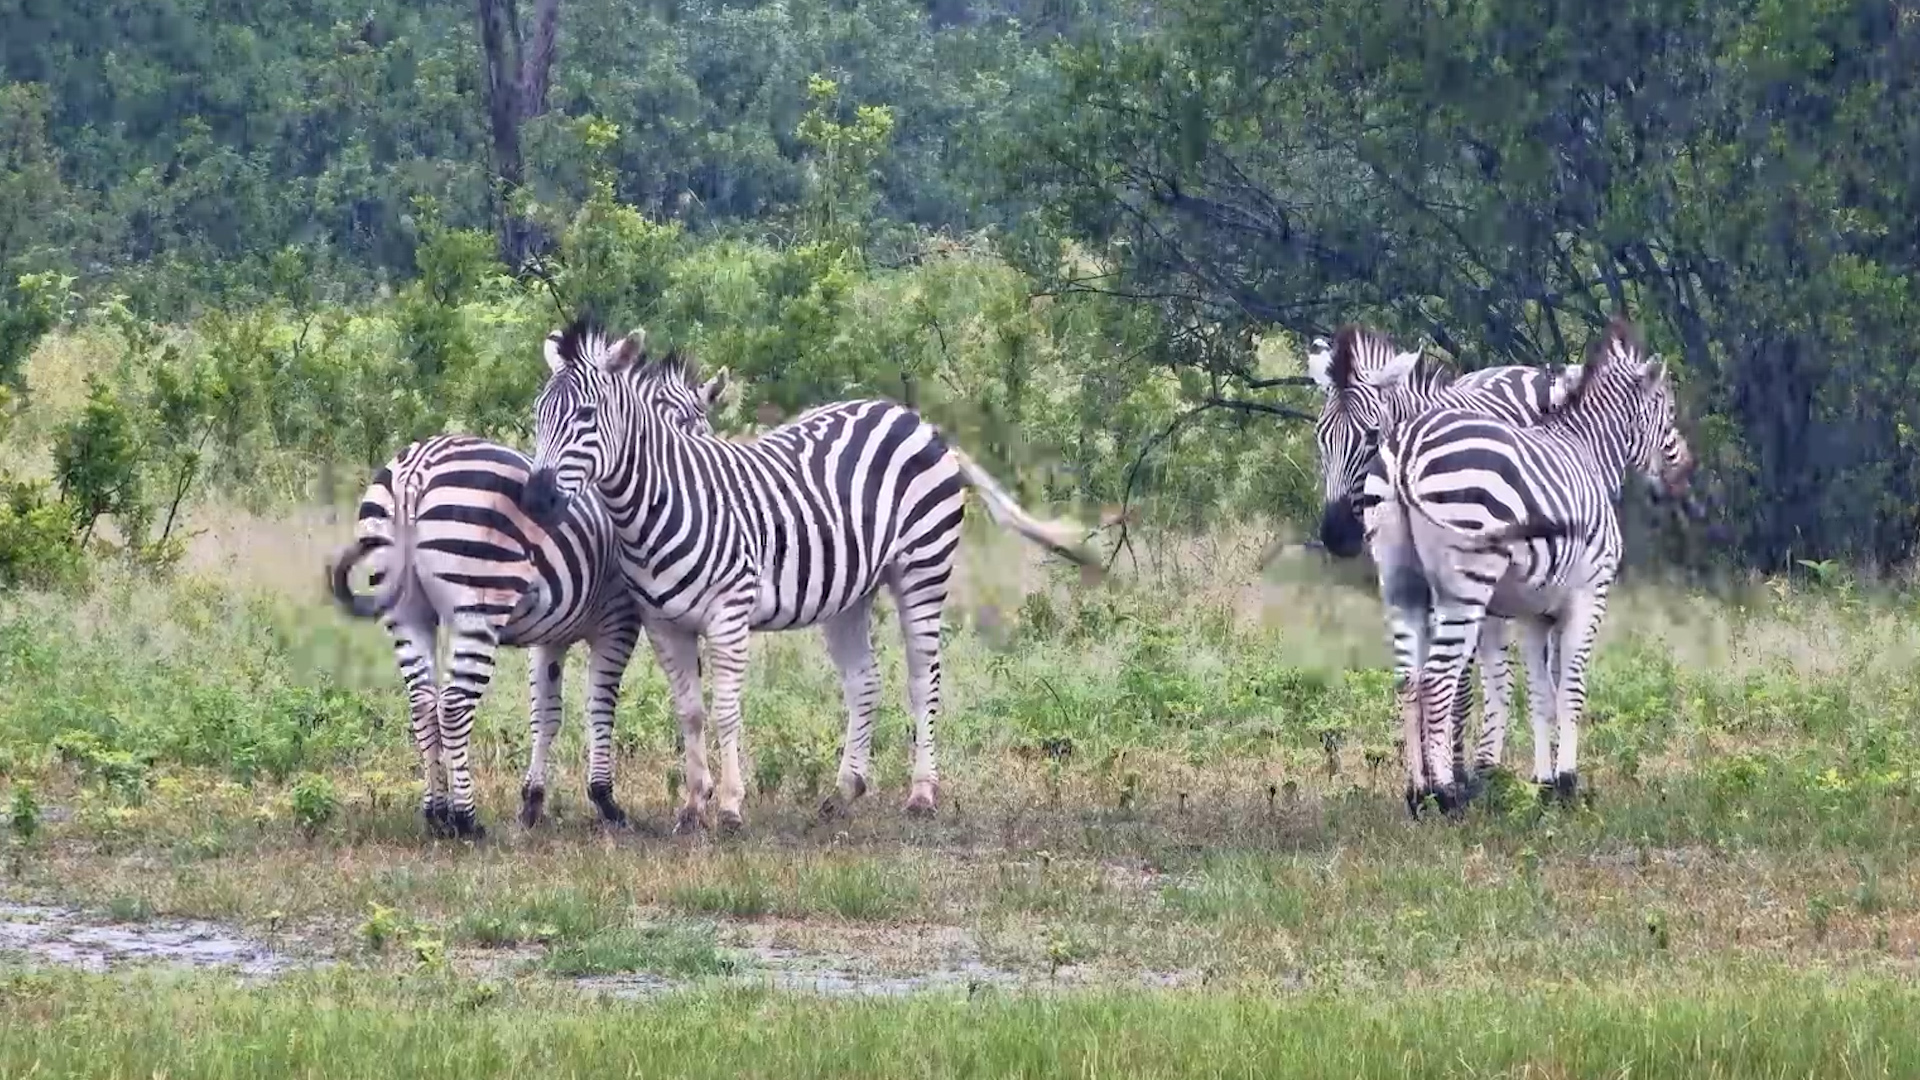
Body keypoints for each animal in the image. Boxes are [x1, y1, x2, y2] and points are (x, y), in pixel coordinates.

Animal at [326, 330, 729, 838]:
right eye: (699, 429)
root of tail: (415, 471)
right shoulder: (619, 621)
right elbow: (600, 706)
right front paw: (606, 802)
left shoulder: (550, 634)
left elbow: (546, 714)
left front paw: (533, 802)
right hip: (478, 606)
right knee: (454, 704)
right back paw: (466, 820)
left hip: (407, 612)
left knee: (422, 702)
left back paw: (435, 814)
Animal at [516, 317, 1101, 834]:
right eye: (540, 414)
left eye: (586, 415)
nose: (536, 499)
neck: (659, 505)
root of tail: (913, 419)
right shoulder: (664, 624)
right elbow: (690, 712)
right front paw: (692, 807)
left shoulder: (729, 614)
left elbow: (726, 710)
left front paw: (730, 808)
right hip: (850, 592)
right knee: (865, 682)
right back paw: (843, 793)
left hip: (923, 567)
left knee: (923, 677)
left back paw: (921, 795)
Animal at [1306, 324, 1565, 802]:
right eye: (1321, 436)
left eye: (1371, 435)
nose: (1335, 535)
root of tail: (1521, 368)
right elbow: (1421, 675)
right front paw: (1428, 779)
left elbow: (1456, 683)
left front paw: (1455, 776)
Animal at [1373, 316, 1695, 813]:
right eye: (1670, 410)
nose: (1685, 472)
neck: (1588, 452)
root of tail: (1406, 450)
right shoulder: (1589, 594)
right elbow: (1572, 689)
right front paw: (1567, 782)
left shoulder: (1533, 613)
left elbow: (1542, 694)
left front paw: (1542, 784)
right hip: (1465, 583)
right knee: (1437, 680)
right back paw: (1447, 795)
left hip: (1399, 580)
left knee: (1409, 679)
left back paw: (1418, 794)